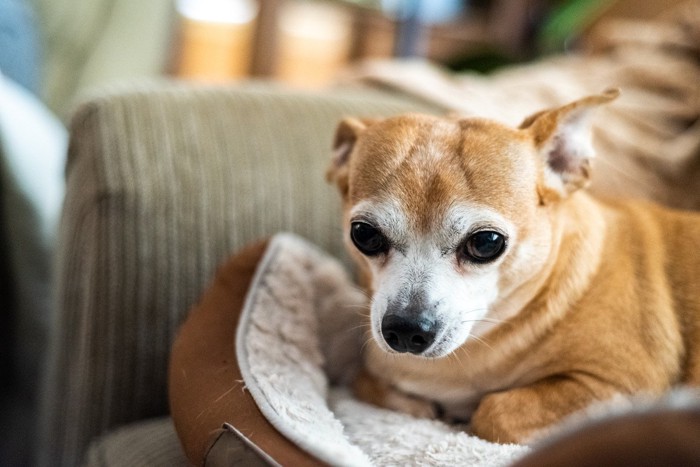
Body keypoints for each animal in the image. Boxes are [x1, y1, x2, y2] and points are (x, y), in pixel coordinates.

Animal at [326, 89, 700, 444]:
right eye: (364, 234)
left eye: (486, 243)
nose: (405, 329)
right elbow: (366, 380)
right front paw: (419, 405)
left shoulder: (620, 388)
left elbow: (494, 409)